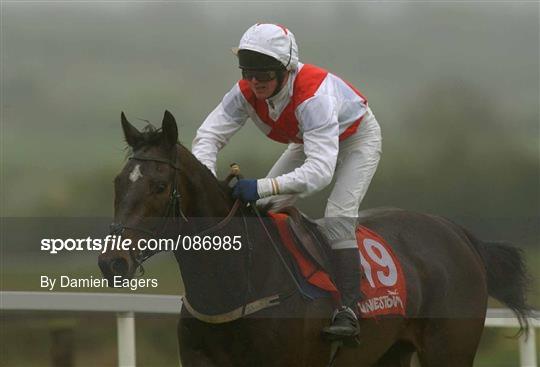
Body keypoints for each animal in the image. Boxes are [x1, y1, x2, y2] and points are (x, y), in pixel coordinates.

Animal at [99, 111, 528, 367]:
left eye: (158, 186)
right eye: (118, 182)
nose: (112, 262)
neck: (237, 280)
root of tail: (457, 233)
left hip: (449, 349)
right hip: (390, 352)